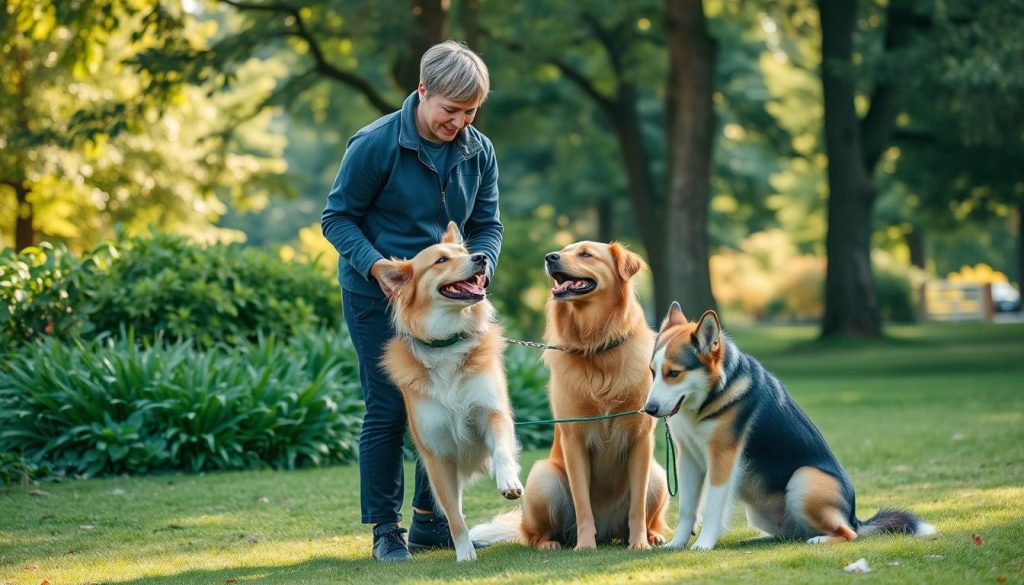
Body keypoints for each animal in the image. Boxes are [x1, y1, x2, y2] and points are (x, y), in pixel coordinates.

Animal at [376, 222, 524, 561]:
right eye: (441, 260)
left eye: (464, 252)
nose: (481, 257)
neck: (447, 342)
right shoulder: (437, 453)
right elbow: (455, 514)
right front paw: (464, 551)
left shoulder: (492, 412)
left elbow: (501, 450)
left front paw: (508, 479)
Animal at [647, 305, 937, 553]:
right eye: (652, 372)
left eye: (673, 373)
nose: (648, 409)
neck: (712, 395)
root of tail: (855, 517)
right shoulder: (688, 458)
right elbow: (687, 509)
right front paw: (677, 543)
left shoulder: (723, 458)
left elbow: (711, 508)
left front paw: (704, 543)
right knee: (792, 533)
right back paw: (760, 538)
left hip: (804, 478)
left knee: (846, 533)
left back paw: (821, 539)